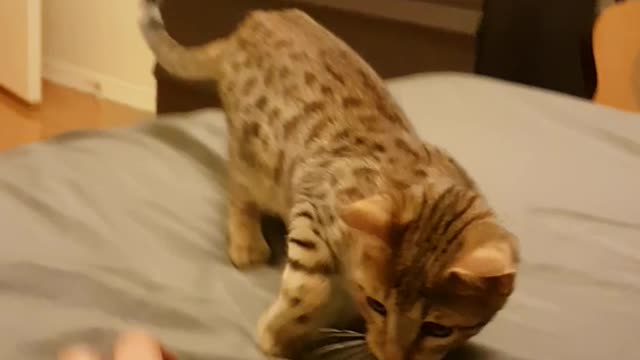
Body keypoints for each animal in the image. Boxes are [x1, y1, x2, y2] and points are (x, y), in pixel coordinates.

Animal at [140, 1, 520, 358]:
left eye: (438, 330)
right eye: (378, 306)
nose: (391, 355)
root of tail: (250, 25)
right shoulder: (315, 208)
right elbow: (309, 291)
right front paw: (278, 335)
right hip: (252, 155)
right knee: (238, 189)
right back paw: (247, 243)